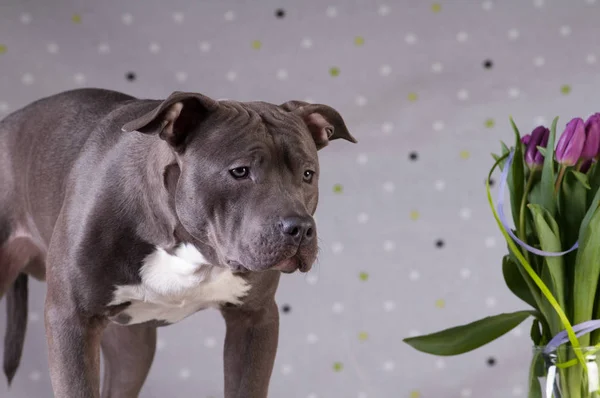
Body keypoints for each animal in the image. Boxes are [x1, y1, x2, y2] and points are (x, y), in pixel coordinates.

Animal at [0, 89, 356, 398]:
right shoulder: (71, 320)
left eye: (308, 174)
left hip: (132, 347)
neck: (187, 245)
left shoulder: (254, 320)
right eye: (240, 171)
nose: (300, 228)